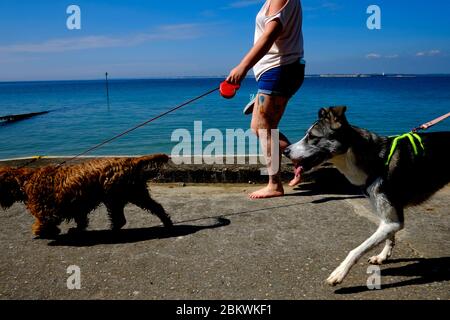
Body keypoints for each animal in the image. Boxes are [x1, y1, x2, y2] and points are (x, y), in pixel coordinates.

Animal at [0, 154, 172, 239]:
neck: (25, 180)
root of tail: (132, 160)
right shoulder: (76, 206)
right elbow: (80, 221)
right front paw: (72, 230)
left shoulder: (47, 211)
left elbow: (43, 222)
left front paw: (41, 232)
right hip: (135, 193)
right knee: (155, 207)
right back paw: (166, 222)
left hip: (117, 195)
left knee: (121, 218)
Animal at [284, 107, 450, 284]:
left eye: (313, 137)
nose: (285, 151)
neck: (376, 160)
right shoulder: (389, 220)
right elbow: (390, 238)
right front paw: (383, 256)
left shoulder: (392, 221)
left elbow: (357, 249)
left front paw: (340, 272)